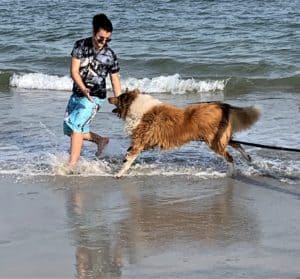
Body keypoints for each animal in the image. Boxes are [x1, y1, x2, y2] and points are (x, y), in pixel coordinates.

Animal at [108, 88, 260, 178]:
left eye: (119, 97)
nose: (108, 98)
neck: (135, 106)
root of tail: (222, 105)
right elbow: (128, 155)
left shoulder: (139, 141)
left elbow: (129, 158)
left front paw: (119, 173)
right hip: (220, 137)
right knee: (237, 145)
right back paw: (247, 158)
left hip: (214, 141)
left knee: (230, 157)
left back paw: (231, 172)